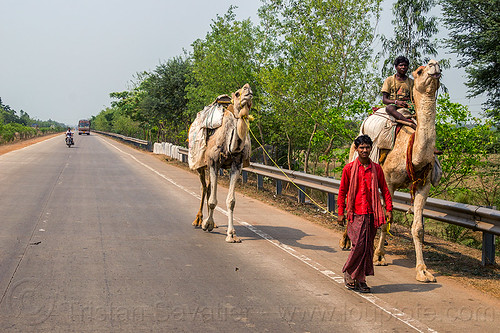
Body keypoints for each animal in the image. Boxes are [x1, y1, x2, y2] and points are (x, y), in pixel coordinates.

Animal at [188, 83, 252, 241]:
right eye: (237, 93)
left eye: (251, 92)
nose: (248, 90)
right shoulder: (213, 161)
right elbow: (212, 200)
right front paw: (207, 225)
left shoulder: (237, 165)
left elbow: (231, 201)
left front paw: (231, 234)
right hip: (201, 164)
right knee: (204, 187)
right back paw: (198, 220)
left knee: (209, 187)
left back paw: (213, 222)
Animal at [344, 59, 442, 280]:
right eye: (419, 70)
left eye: (437, 66)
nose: (434, 65)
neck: (412, 153)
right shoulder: (388, 181)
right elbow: (384, 218)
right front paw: (378, 256)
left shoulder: (423, 185)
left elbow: (418, 228)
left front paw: (423, 271)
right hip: (353, 156)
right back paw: (346, 240)